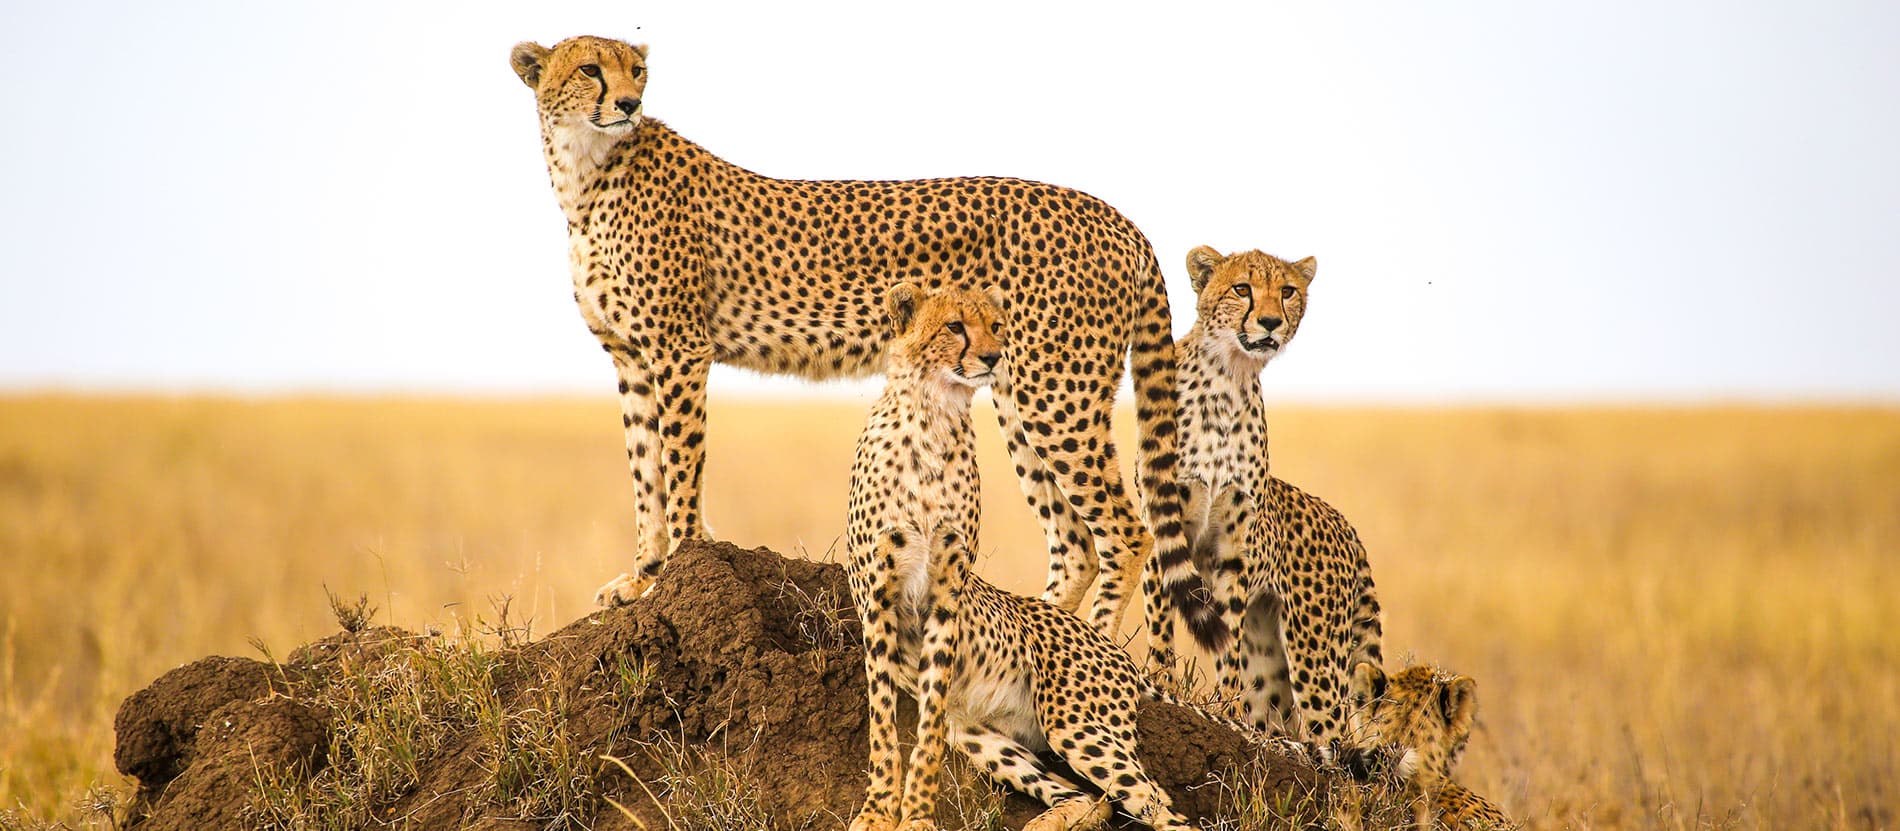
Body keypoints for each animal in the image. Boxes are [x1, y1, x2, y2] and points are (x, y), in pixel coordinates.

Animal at [508, 35, 1189, 635]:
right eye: (591, 69)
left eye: (637, 71)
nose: (628, 103)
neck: (585, 171)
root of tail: (1117, 217)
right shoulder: (630, 357)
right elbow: (645, 472)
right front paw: (643, 577)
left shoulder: (679, 349)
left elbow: (679, 467)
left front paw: (676, 570)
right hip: (1017, 391)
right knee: (1075, 544)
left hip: (1055, 391)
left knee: (1127, 533)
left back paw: (1093, 649)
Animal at [846, 284, 1252, 831]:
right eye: (954, 326)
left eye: (996, 326)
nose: (993, 357)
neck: (934, 416)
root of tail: (1115, 651)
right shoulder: (879, 598)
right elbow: (884, 722)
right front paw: (878, 812)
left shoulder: (946, 594)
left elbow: (926, 727)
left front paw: (917, 818)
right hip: (983, 736)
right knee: (1093, 798)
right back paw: (1050, 821)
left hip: (1077, 725)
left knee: (1157, 805)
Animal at [1141, 246, 1383, 744]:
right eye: (1241, 288)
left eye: (1287, 291)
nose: (1270, 321)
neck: (1227, 378)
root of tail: (1346, 524)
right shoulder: (1163, 520)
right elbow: (1160, 623)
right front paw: (1160, 684)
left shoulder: (1233, 546)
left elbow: (1227, 635)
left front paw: (1227, 706)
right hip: (1280, 657)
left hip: (1315, 653)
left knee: (1329, 733)